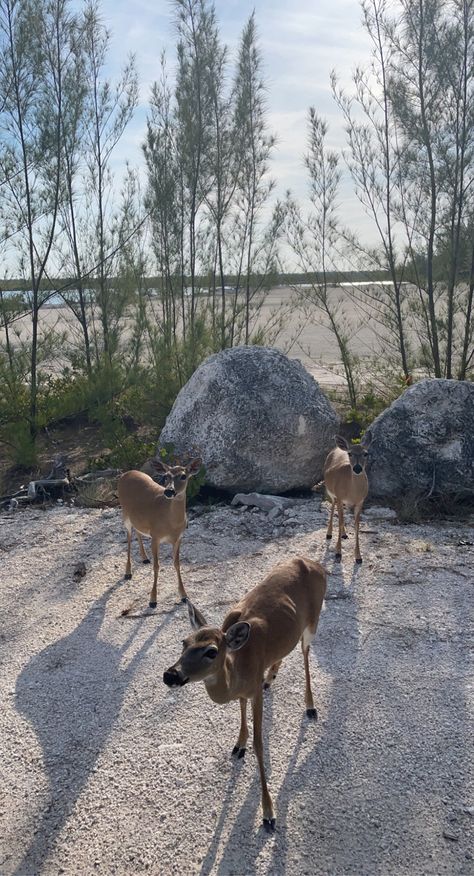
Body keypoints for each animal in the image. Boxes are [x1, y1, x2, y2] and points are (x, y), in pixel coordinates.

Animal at [118, 456, 202, 612]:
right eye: (166, 476)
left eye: (183, 476)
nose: (169, 491)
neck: (171, 524)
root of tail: (126, 473)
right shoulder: (155, 537)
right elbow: (157, 566)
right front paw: (152, 600)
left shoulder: (179, 538)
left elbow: (176, 563)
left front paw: (184, 596)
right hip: (124, 513)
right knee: (128, 535)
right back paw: (128, 572)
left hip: (137, 518)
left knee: (137, 530)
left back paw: (145, 558)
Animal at [163, 556, 326, 832]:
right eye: (183, 642)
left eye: (211, 651)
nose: (170, 675)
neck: (239, 666)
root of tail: (313, 564)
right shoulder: (245, 690)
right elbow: (240, 710)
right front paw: (239, 744)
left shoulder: (254, 692)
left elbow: (260, 745)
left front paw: (269, 812)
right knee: (286, 651)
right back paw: (271, 677)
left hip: (313, 621)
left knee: (305, 653)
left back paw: (310, 706)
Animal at [324, 434, 372, 564]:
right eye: (350, 454)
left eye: (366, 453)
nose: (357, 468)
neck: (353, 493)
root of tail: (337, 448)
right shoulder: (340, 496)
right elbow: (340, 522)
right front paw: (338, 553)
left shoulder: (360, 502)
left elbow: (357, 526)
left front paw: (358, 557)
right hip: (331, 493)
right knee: (333, 507)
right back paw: (329, 534)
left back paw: (344, 534)